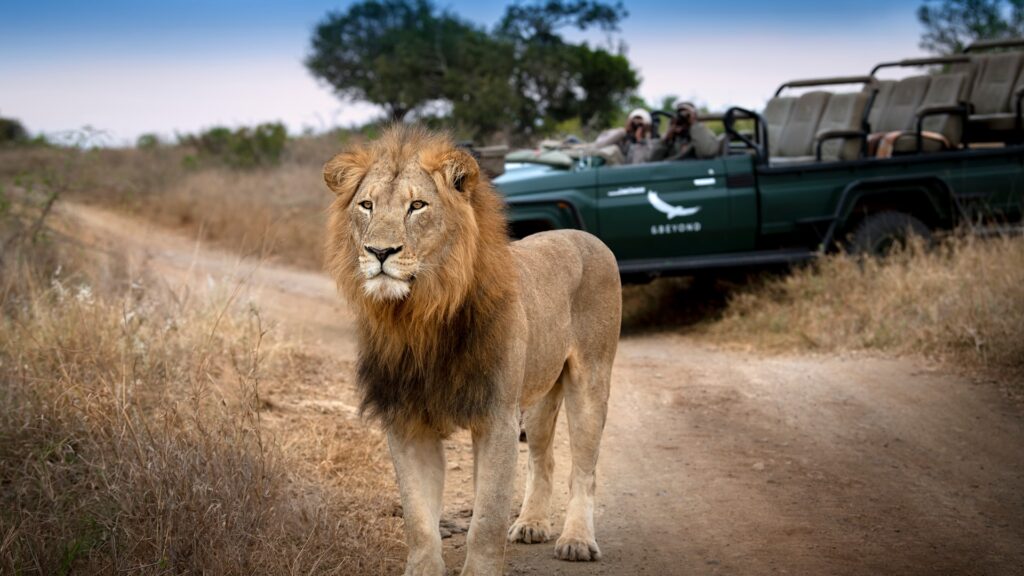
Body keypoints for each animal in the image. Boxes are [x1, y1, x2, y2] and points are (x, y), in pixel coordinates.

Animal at [323, 125, 621, 576]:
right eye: (366, 205)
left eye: (417, 206)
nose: (379, 252)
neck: (419, 317)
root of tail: (585, 235)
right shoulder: (408, 422)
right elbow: (419, 520)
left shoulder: (496, 417)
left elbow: (487, 518)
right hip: (538, 394)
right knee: (542, 458)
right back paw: (532, 523)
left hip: (590, 380)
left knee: (585, 469)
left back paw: (576, 540)